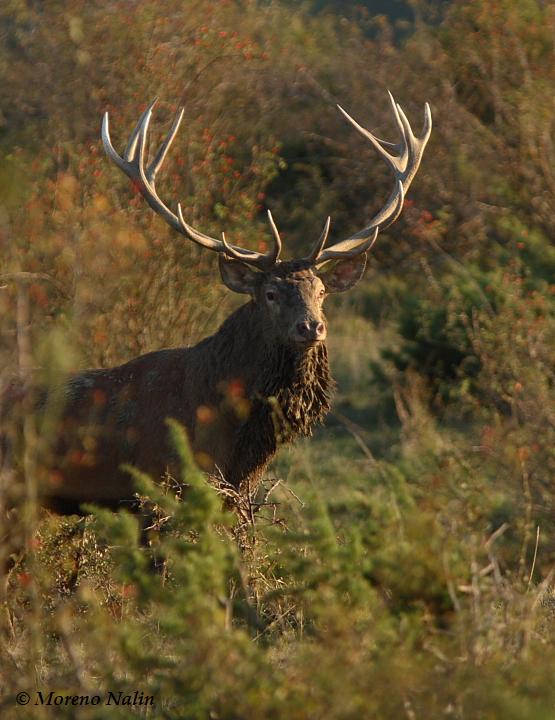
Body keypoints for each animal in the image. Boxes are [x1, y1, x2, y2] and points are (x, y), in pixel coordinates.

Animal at [1, 92, 431, 556]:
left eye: (321, 291)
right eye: (270, 293)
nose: (311, 327)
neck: (232, 436)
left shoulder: (236, 495)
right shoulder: (155, 489)